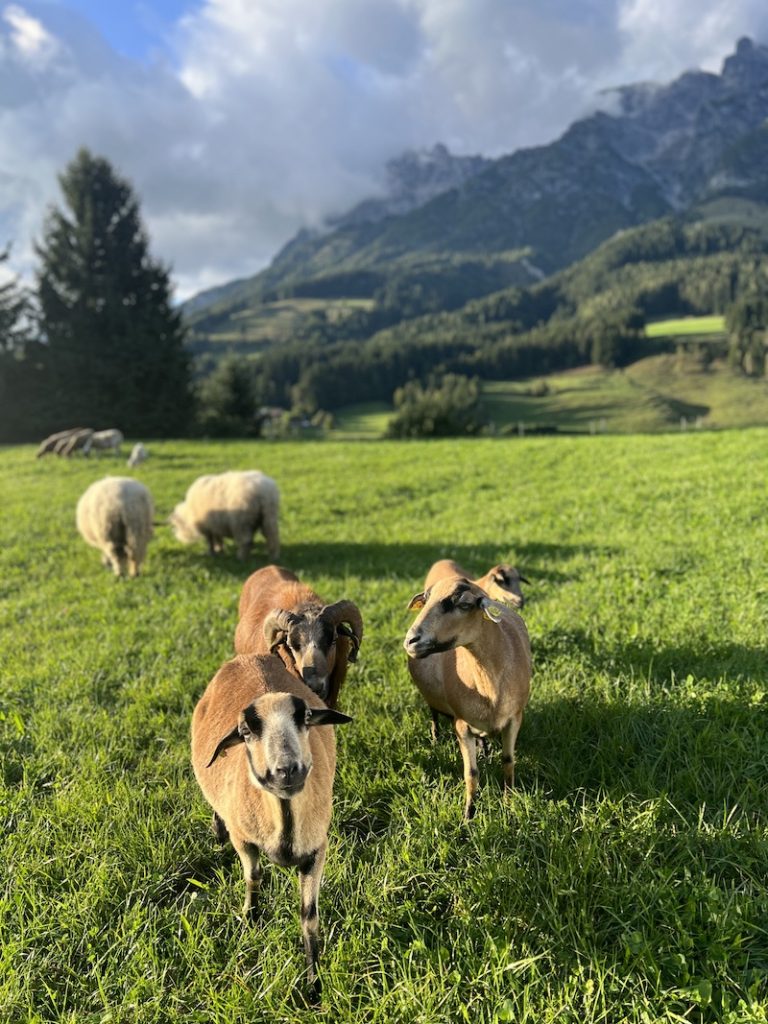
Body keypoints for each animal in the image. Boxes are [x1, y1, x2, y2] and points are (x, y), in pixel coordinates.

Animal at [191, 655, 352, 999]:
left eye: (306, 718)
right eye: (245, 732)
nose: (287, 770)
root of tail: (247, 658)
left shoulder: (317, 850)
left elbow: (309, 917)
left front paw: (314, 985)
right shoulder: (243, 840)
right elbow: (253, 877)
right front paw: (250, 916)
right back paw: (216, 831)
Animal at [403, 581, 536, 819]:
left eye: (464, 604)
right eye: (425, 601)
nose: (410, 641)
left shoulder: (515, 718)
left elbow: (508, 762)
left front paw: (508, 804)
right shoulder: (461, 725)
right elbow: (471, 773)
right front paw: (468, 815)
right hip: (433, 699)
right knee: (434, 713)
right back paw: (436, 738)